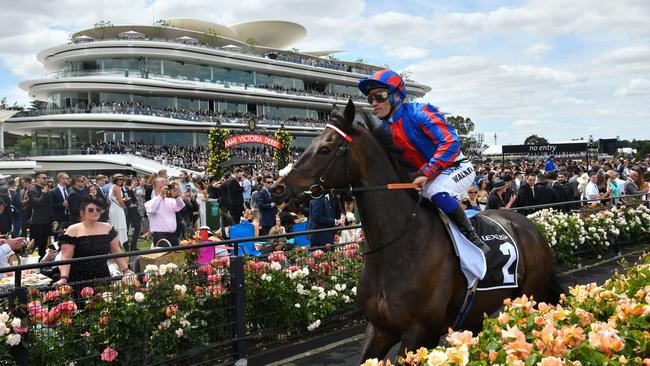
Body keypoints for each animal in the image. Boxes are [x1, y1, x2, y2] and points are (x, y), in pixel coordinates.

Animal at [270, 101, 560, 364]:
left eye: (324, 149)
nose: (277, 188)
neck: (396, 246)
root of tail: (531, 228)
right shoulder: (379, 329)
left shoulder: (420, 333)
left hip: (531, 299)